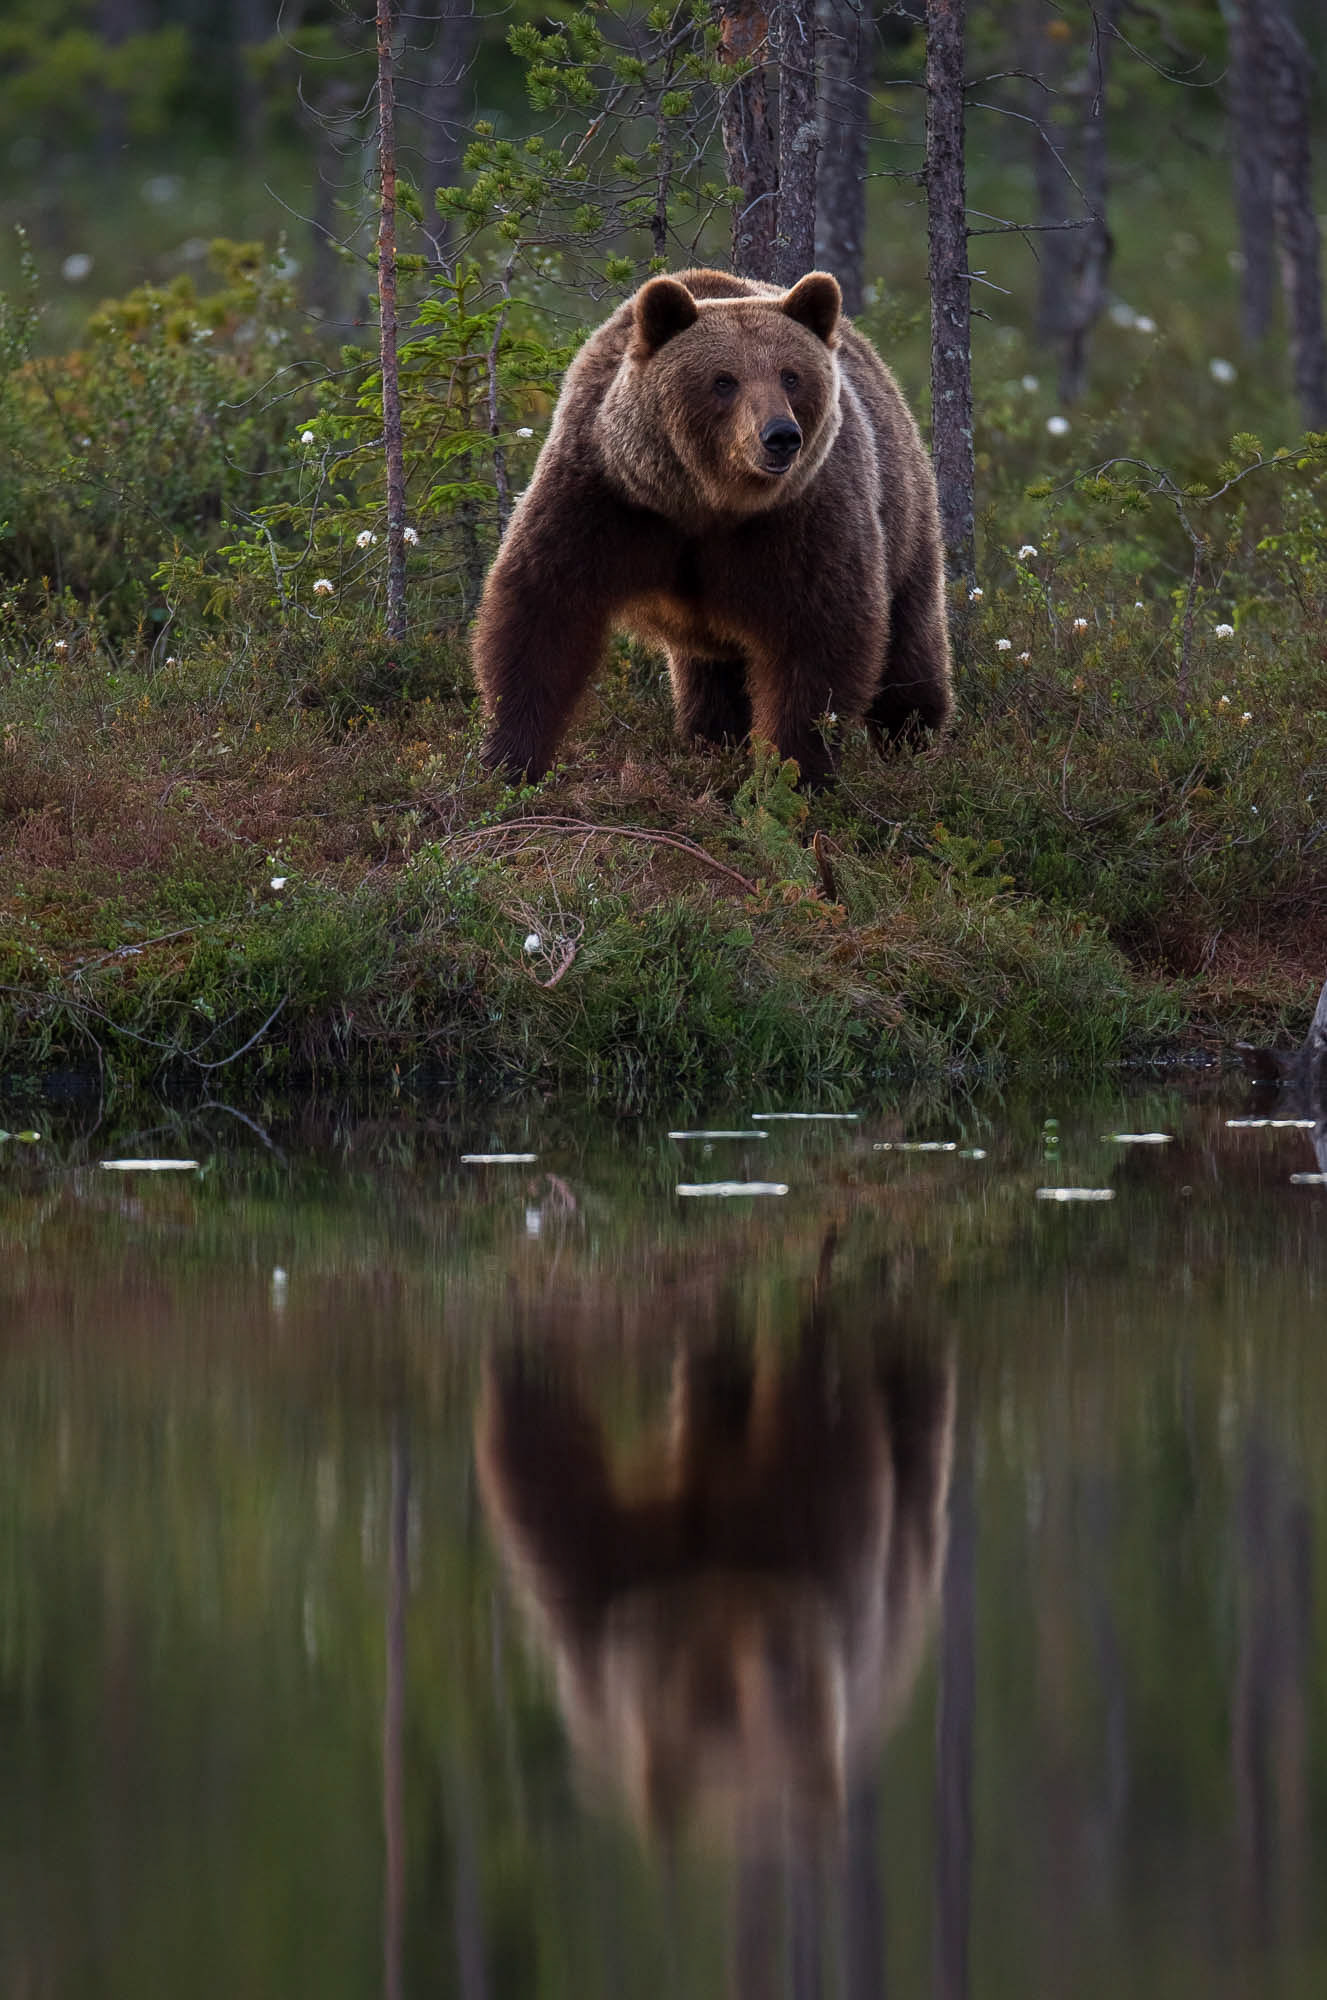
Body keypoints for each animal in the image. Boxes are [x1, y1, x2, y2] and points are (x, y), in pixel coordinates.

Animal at [472, 267, 953, 788]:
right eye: (724, 380)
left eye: (791, 375)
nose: (781, 436)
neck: (705, 500)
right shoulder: (606, 494)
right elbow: (544, 610)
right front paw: (509, 758)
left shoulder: (803, 516)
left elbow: (819, 634)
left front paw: (793, 772)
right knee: (710, 676)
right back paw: (713, 738)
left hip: (904, 515)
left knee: (910, 646)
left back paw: (913, 741)